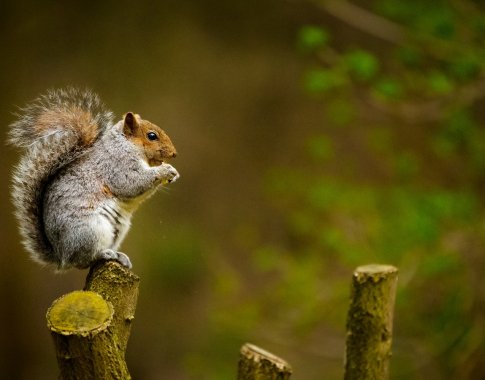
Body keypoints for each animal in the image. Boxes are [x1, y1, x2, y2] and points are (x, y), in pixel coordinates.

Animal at [8, 87, 180, 268]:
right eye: (152, 136)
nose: (174, 153)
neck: (125, 145)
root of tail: (61, 255)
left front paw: (173, 173)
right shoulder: (117, 166)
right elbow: (132, 183)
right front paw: (165, 170)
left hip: (117, 231)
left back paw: (120, 256)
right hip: (90, 231)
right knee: (83, 260)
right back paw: (104, 254)